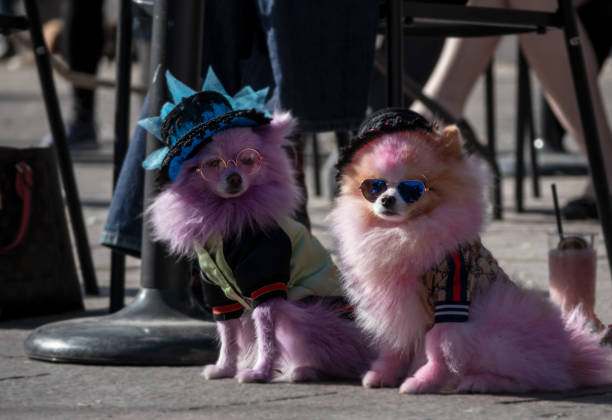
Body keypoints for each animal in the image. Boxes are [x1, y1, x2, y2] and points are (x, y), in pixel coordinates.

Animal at [142, 70, 370, 382]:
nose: (235, 178)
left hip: (311, 314)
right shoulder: (218, 293)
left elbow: (266, 337)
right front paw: (225, 368)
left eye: (248, 159)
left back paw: (305, 370)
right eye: (213, 164)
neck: (228, 216)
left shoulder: (266, 286)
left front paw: (260, 371)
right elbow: (228, 336)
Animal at [330, 109, 612, 394]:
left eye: (413, 188)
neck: (401, 232)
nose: (386, 199)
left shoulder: (452, 295)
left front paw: (422, 382)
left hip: (496, 327)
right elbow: (394, 346)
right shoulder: (393, 305)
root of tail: (570, 358)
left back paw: (479, 381)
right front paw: (382, 375)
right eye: (373, 186)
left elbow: (437, 347)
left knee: (529, 376)